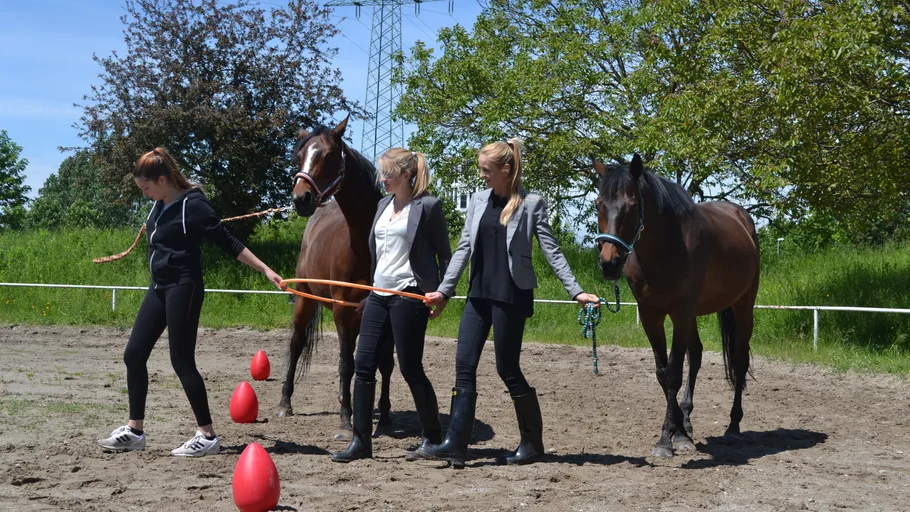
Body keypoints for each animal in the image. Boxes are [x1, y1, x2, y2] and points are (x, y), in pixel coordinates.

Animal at [277, 115, 395, 440]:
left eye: (330, 155)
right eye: (299, 156)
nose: (301, 199)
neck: (365, 248)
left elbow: (384, 363)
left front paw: (384, 415)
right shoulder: (343, 310)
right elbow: (345, 363)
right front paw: (346, 420)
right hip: (305, 301)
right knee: (296, 344)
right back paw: (285, 403)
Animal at [592, 154, 760, 458]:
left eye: (632, 205)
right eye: (599, 204)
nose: (609, 264)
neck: (664, 249)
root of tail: (742, 218)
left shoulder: (680, 312)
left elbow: (673, 372)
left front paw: (669, 438)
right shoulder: (651, 314)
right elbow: (663, 373)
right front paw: (676, 433)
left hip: (742, 306)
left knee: (739, 359)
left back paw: (733, 426)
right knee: (697, 355)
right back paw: (688, 420)